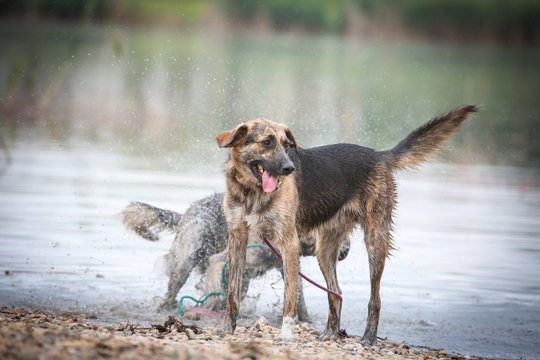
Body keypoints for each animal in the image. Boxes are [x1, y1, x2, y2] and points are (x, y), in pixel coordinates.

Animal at [121, 193, 350, 322]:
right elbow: (213, 293)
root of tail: (191, 208)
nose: (346, 250)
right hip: (188, 258)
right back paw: (168, 305)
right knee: (174, 287)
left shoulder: (286, 267)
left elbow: (299, 298)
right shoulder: (222, 260)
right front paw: (208, 309)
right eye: (335, 234)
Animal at [215, 105, 476, 344]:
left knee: (375, 299)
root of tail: (379, 155)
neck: (251, 190)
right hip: (325, 251)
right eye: (267, 142)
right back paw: (331, 333)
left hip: (375, 242)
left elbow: (290, 296)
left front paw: (287, 334)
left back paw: (368, 337)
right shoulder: (237, 238)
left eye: (286, 144)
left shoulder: (288, 243)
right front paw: (227, 329)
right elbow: (232, 295)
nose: (289, 169)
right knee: (336, 293)